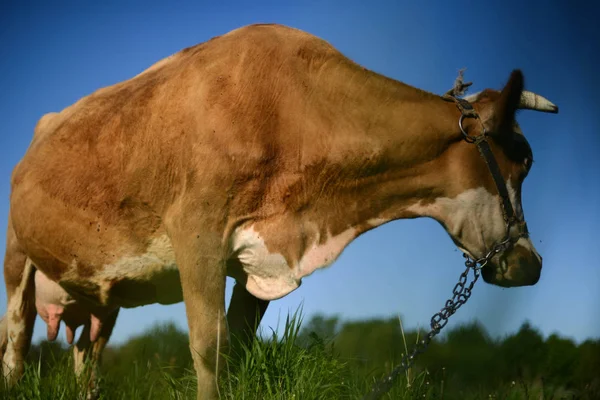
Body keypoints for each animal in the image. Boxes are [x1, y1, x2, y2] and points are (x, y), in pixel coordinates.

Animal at [0, 23, 556, 398]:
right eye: (523, 159)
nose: (530, 264)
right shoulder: (196, 232)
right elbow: (211, 347)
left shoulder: (260, 260)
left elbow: (241, 346)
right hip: (16, 261)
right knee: (16, 342)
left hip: (102, 294)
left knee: (86, 353)